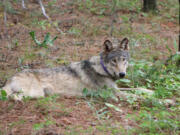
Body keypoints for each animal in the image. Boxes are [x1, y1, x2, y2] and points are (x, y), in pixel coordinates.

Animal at [0, 37, 174, 105]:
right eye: (114, 61)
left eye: (124, 60)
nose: (122, 74)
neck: (103, 69)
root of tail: (9, 78)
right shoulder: (115, 94)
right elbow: (139, 97)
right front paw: (166, 101)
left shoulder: (117, 89)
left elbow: (139, 89)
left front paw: (153, 92)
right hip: (35, 93)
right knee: (11, 96)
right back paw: (18, 100)